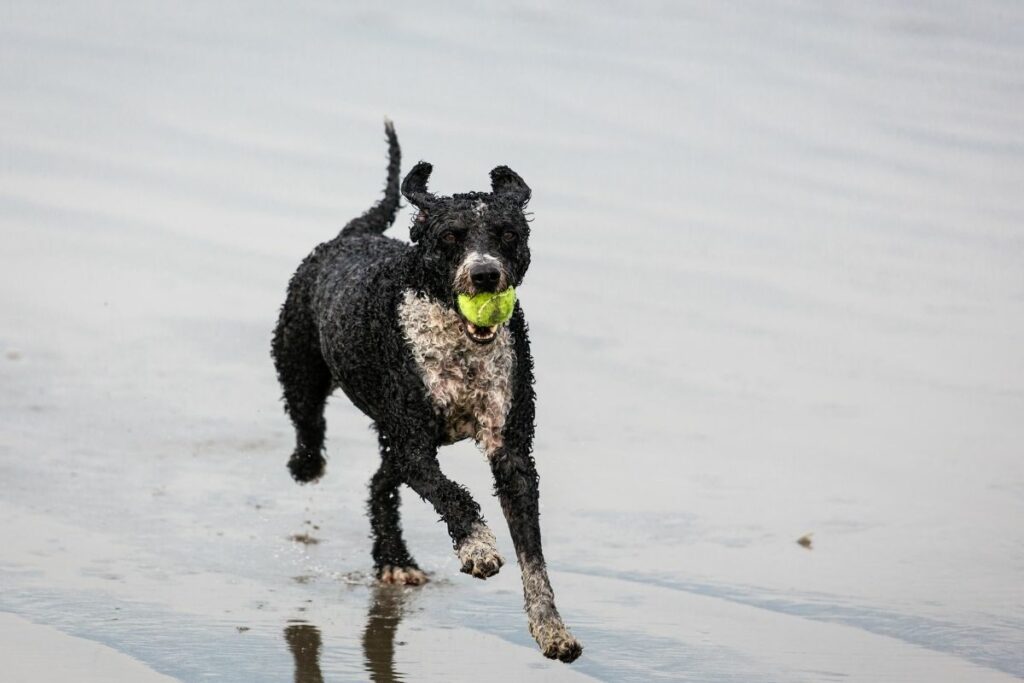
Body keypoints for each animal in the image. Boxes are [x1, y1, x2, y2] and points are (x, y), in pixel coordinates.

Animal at [270, 120, 585, 659]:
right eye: (450, 237)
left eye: (508, 234)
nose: (485, 274)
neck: (459, 344)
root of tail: (356, 234)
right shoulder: (415, 444)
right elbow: (453, 494)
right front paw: (478, 547)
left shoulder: (511, 452)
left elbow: (533, 552)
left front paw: (551, 627)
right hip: (303, 374)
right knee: (310, 429)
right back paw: (307, 465)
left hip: (389, 438)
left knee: (378, 484)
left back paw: (393, 558)